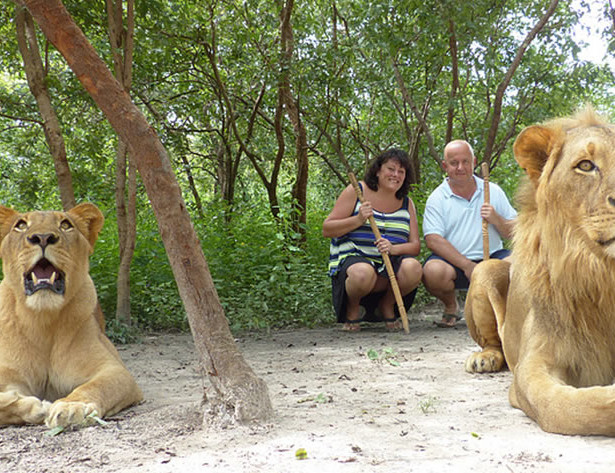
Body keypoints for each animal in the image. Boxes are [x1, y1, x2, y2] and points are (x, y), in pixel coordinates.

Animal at [0, 203, 142, 428]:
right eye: (21, 225)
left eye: (65, 225)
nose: (42, 237)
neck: (42, 320)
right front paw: (35, 407)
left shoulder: (114, 369)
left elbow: (96, 386)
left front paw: (72, 406)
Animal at [464, 108, 615, 436]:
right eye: (586, 165)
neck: (603, 275)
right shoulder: (532, 366)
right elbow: (566, 407)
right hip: (485, 269)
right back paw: (483, 359)